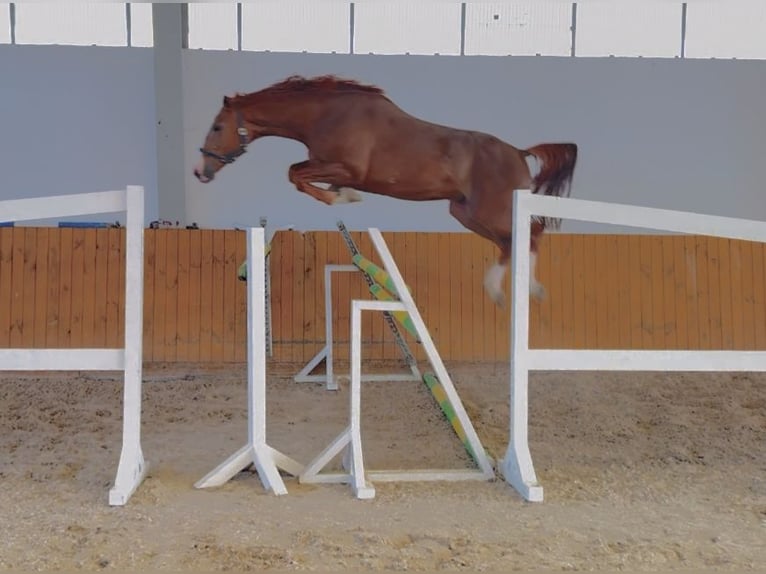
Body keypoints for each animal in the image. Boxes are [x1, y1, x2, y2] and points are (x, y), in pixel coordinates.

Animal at [195, 77, 580, 310]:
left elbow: (294, 173)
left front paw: (344, 198)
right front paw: (343, 196)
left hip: (492, 210)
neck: (325, 114)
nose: (200, 172)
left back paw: (529, 288)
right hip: (466, 213)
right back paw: (498, 290)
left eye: (217, 127)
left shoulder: (344, 167)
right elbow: (297, 174)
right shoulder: (329, 166)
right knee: (510, 242)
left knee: (532, 233)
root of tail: (519, 152)